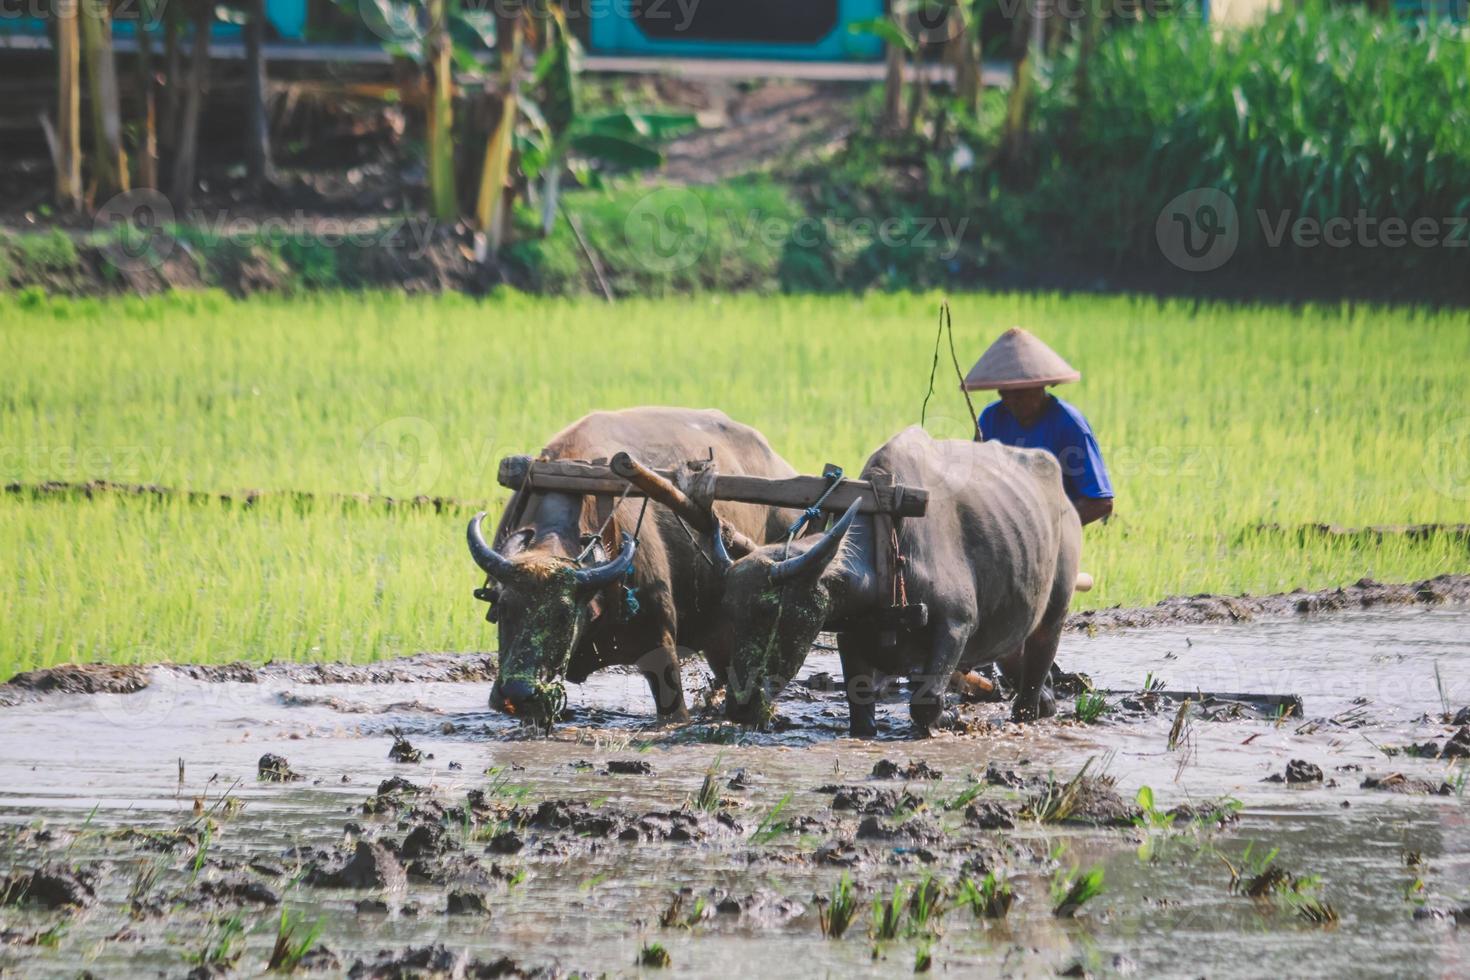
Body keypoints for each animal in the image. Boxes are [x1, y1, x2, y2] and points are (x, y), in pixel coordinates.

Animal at [711, 426, 1081, 740]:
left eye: (770, 614)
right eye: (730, 614)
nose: (740, 705)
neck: (884, 548)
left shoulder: (956, 625)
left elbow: (926, 701)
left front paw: (949, 717)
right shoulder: (850, 635)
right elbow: (860, 704)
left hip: (1056, 608)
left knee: (1039, 659)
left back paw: (1030, 709)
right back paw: (1048, 700)